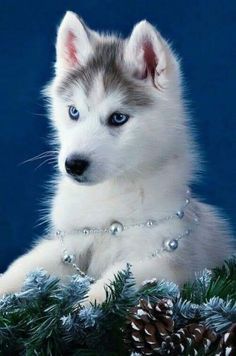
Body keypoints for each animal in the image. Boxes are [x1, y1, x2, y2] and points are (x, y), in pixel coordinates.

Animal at [0, 11, 232, 302]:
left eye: (118, 118)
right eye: (73, 112)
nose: (73, 165)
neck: (111, 196)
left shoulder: (166, 259)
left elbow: (116, 279)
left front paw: (85, 306)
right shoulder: (70, 242)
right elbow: (25, 265)